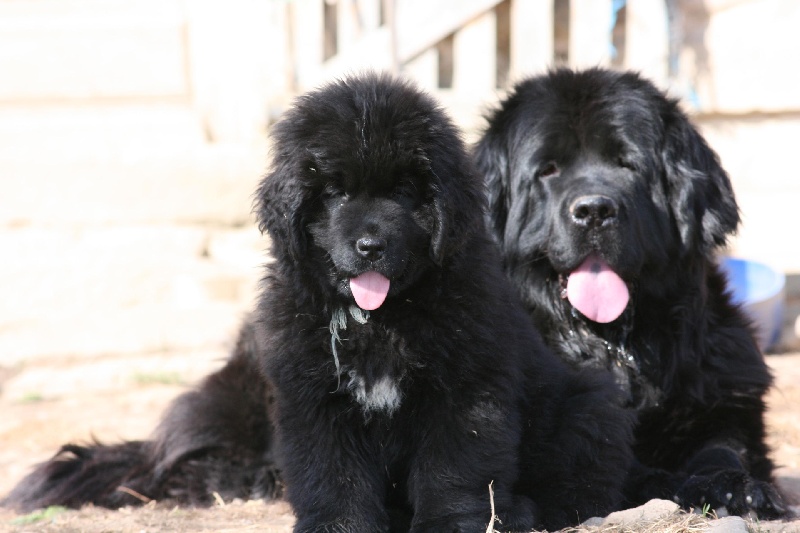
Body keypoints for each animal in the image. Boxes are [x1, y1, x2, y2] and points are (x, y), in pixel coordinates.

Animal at [4, 73, 633, 532]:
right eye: (334, 191)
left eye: (406, 192)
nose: (370, 244)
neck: (379, 321)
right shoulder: (312, 396)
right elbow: (334, 474)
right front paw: (338, 526)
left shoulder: (467, 390)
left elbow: (455, 469)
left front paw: (453, 525)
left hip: (589, 405)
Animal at [473, 67, 788, 519]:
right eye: (548, 170)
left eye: (627, 164)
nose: (594, 210)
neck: (617, 345)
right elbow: (622, 467)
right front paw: (682, 485)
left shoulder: (728, 398)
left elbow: (725, 446)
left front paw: (737, 486)